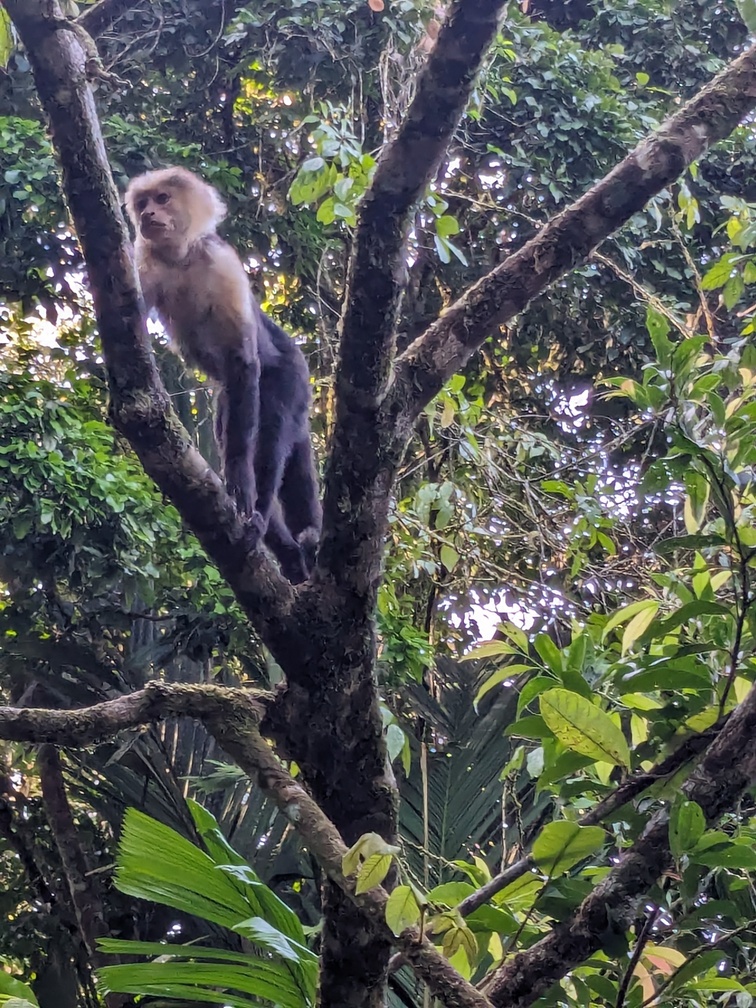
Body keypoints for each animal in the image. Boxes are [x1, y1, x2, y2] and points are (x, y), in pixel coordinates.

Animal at [126, 165, 320, 584]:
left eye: (162, 199)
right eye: (142, 203)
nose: (148, 215)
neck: (182, 259)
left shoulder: (220, 260)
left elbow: (242, 359)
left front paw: (241, 483)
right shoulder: (145, 259)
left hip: (292, 377)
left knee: (270, 433)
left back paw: (260, 516)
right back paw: (290, 552)